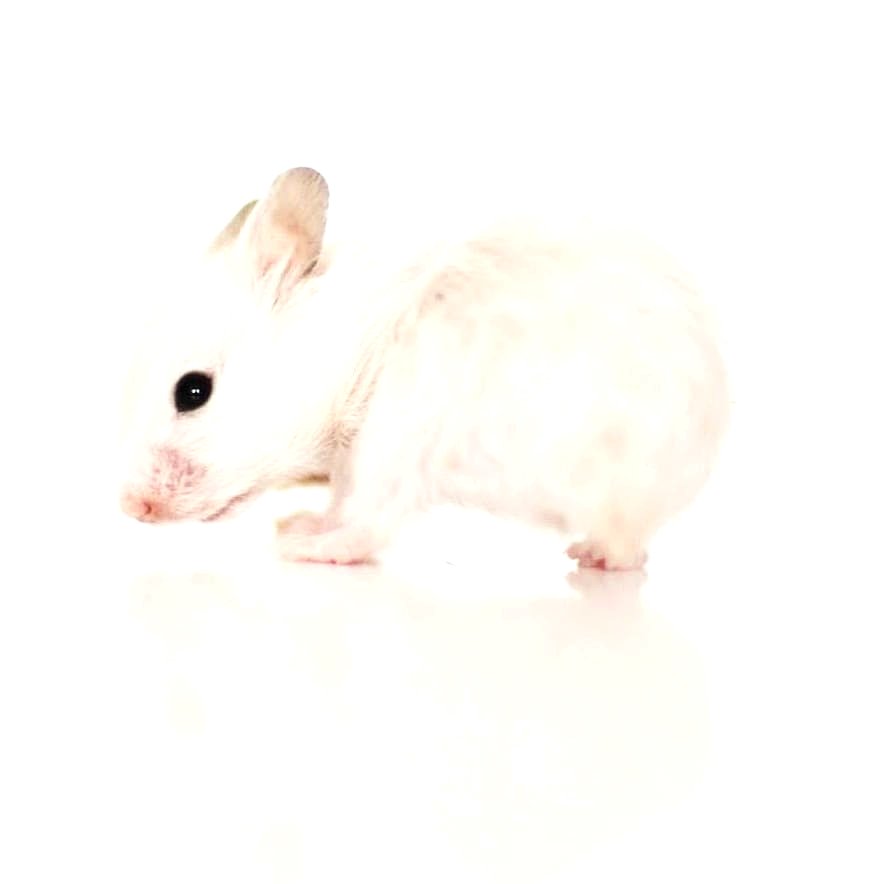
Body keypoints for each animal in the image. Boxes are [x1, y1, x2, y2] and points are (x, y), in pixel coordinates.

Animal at [119, 167, 729, 570]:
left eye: (193, 391)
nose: (132, 507)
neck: (346, 350)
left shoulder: (374, 446)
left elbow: (360, 516)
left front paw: (297, 535)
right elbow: (339, 502)